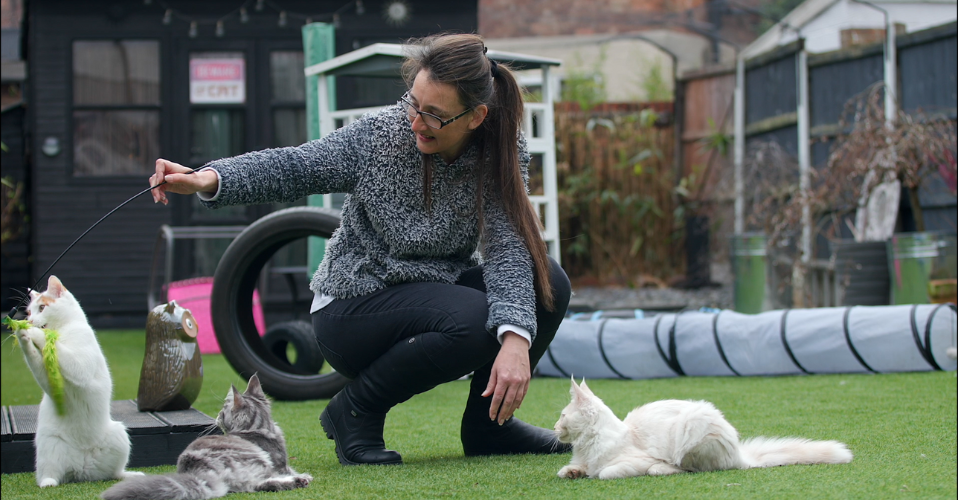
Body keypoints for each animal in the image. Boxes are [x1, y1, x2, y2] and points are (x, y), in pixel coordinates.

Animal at [101, 374, 314, 498]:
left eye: (222, 411)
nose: (217, 416)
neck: (259, 426)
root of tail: (198, 470)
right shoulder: (281, 465)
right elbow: (288, 470)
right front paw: (304, 475)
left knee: (258, 485)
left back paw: (297, 482)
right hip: (258, 461)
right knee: (266, 481)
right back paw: (299, 481)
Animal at [556, 378, 856, 480]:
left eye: (562, 415)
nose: (555, 427)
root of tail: (740, 455)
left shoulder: (634, 461)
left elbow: (605, 472)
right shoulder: (582, 459)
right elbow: (570, 469)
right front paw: (572, 472)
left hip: (693, 427)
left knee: (688, 468)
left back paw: (665, 469)